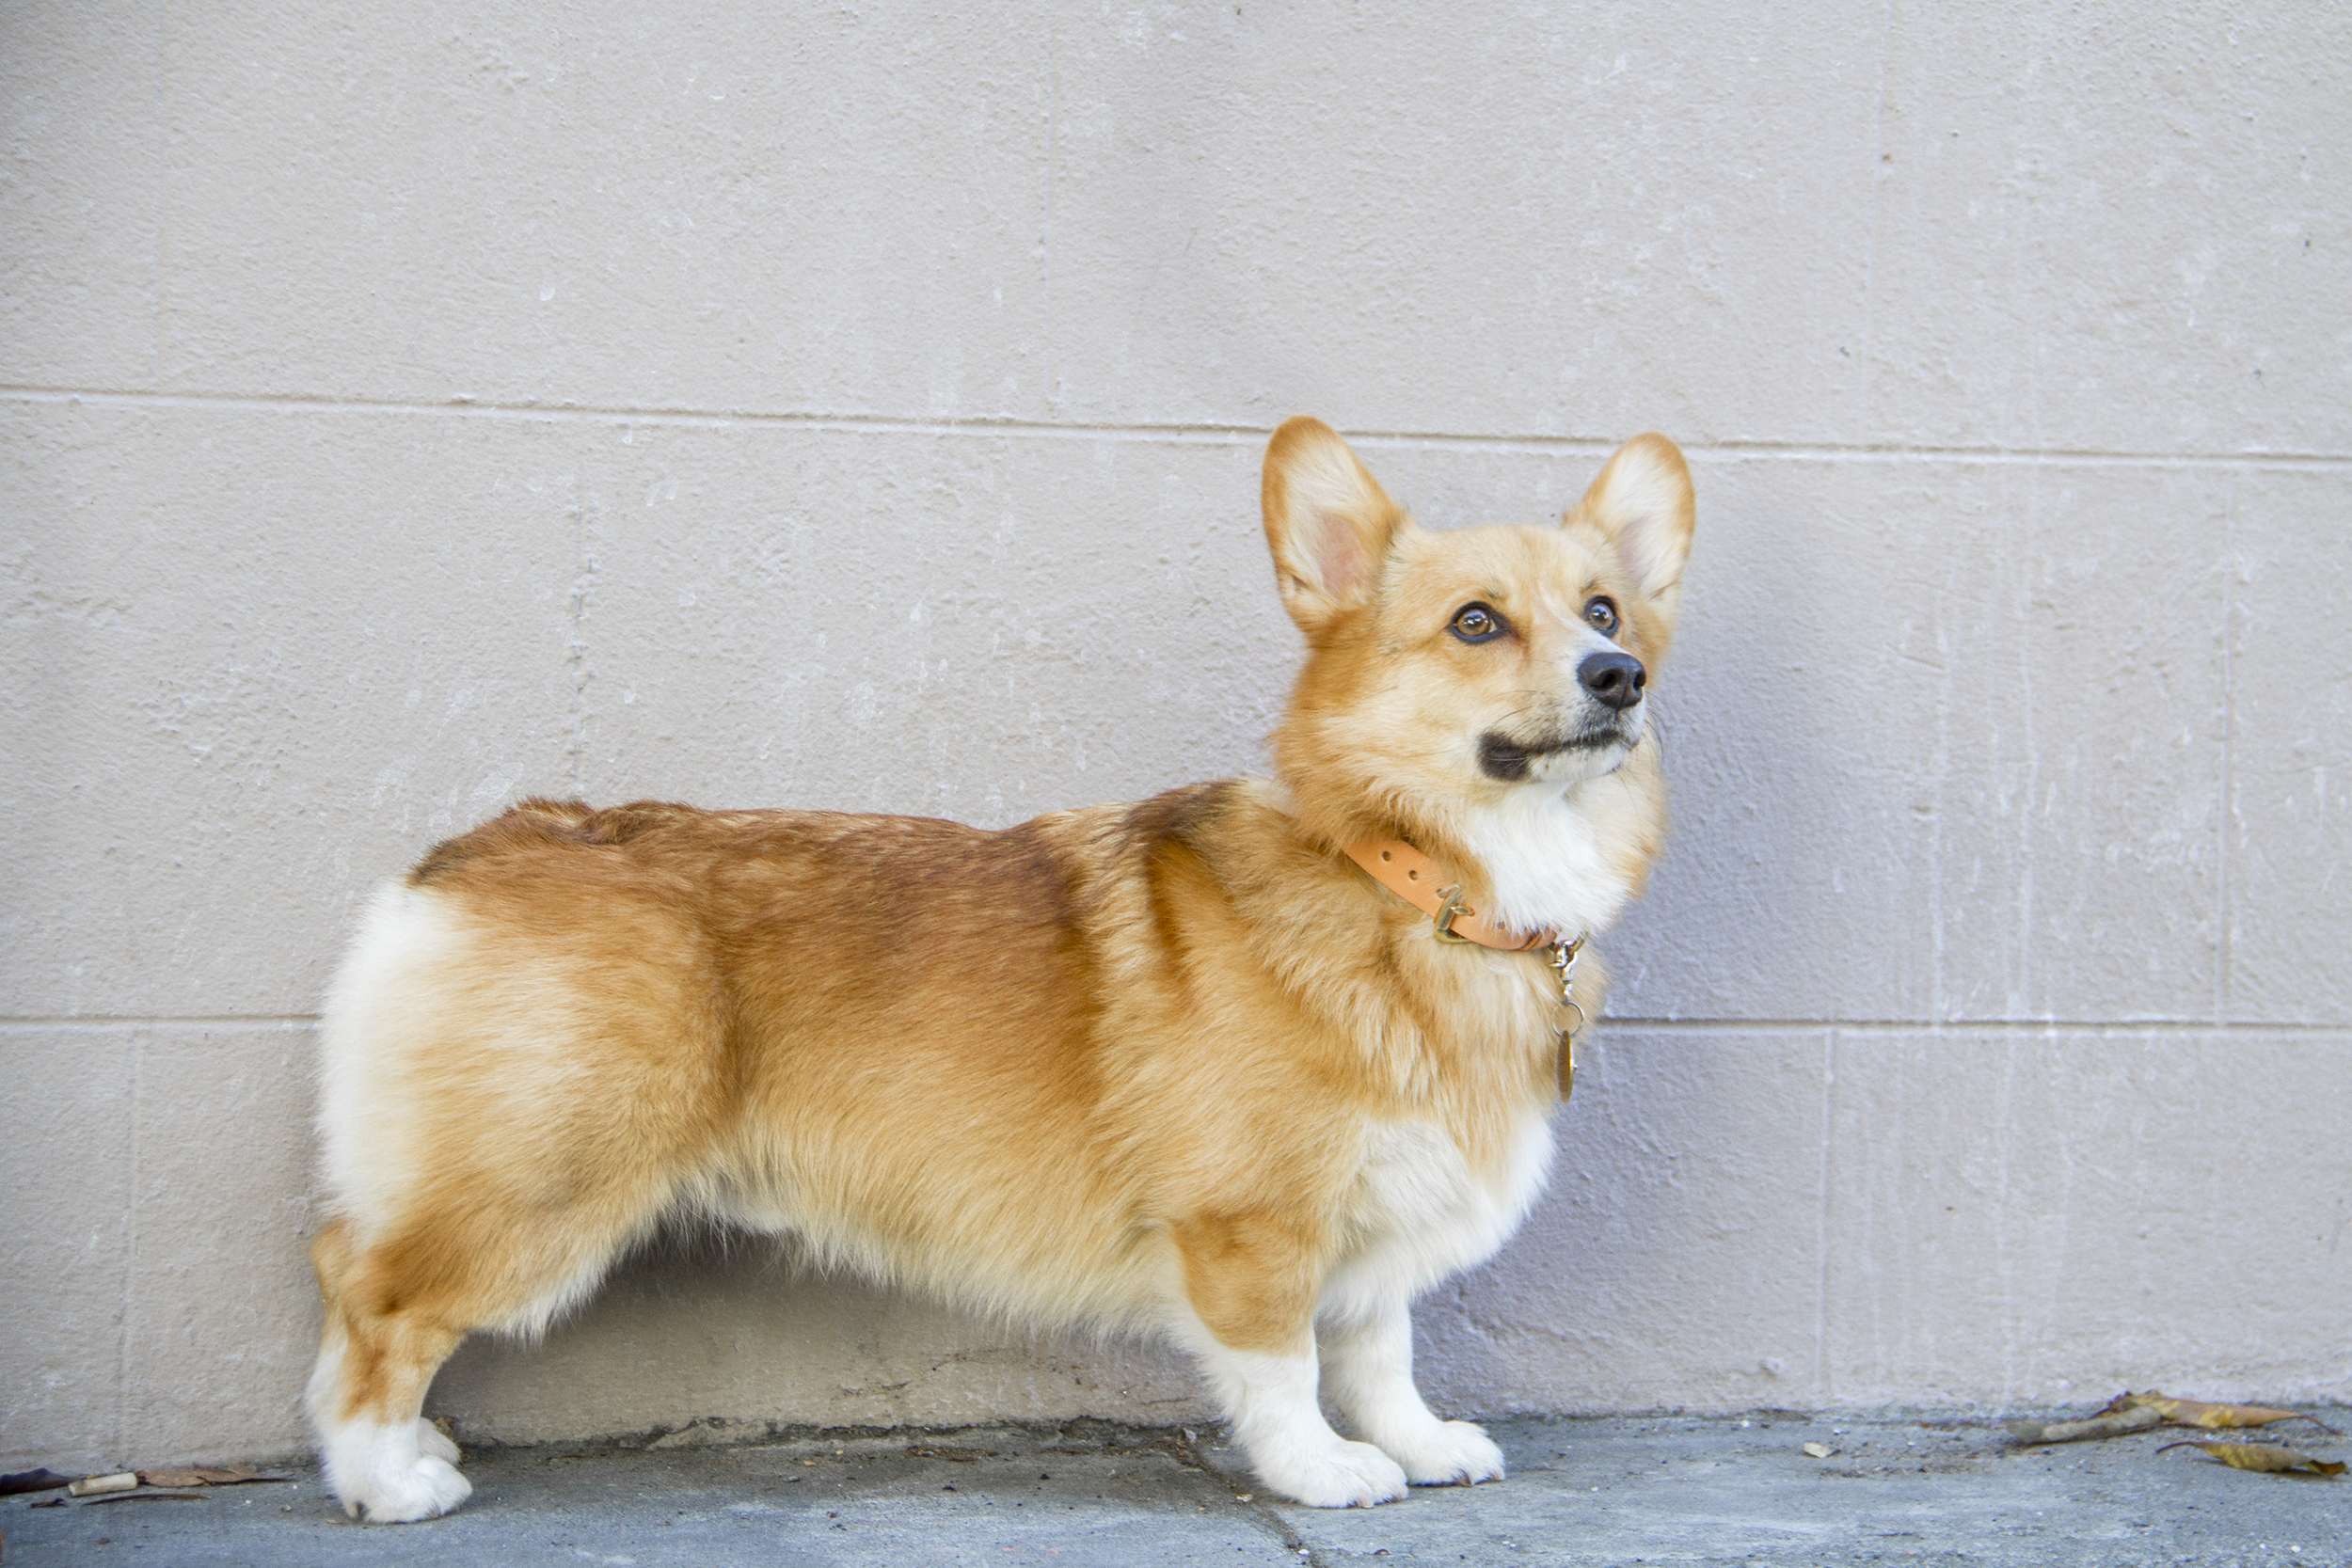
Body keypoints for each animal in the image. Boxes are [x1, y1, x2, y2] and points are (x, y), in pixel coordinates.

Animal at [303, 413, 1693, 1523]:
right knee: (371, 1295)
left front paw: (1420, 1441)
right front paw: (1325, 1470)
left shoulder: (1373, 1211)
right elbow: (1289, 1365)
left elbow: (1378, 1347)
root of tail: (476, 850)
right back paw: (387, 1476)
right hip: (544, 1179)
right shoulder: (1253, 1224)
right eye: (1476, 622)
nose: (1619, 676)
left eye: (1604, 610)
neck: (1419, 880)